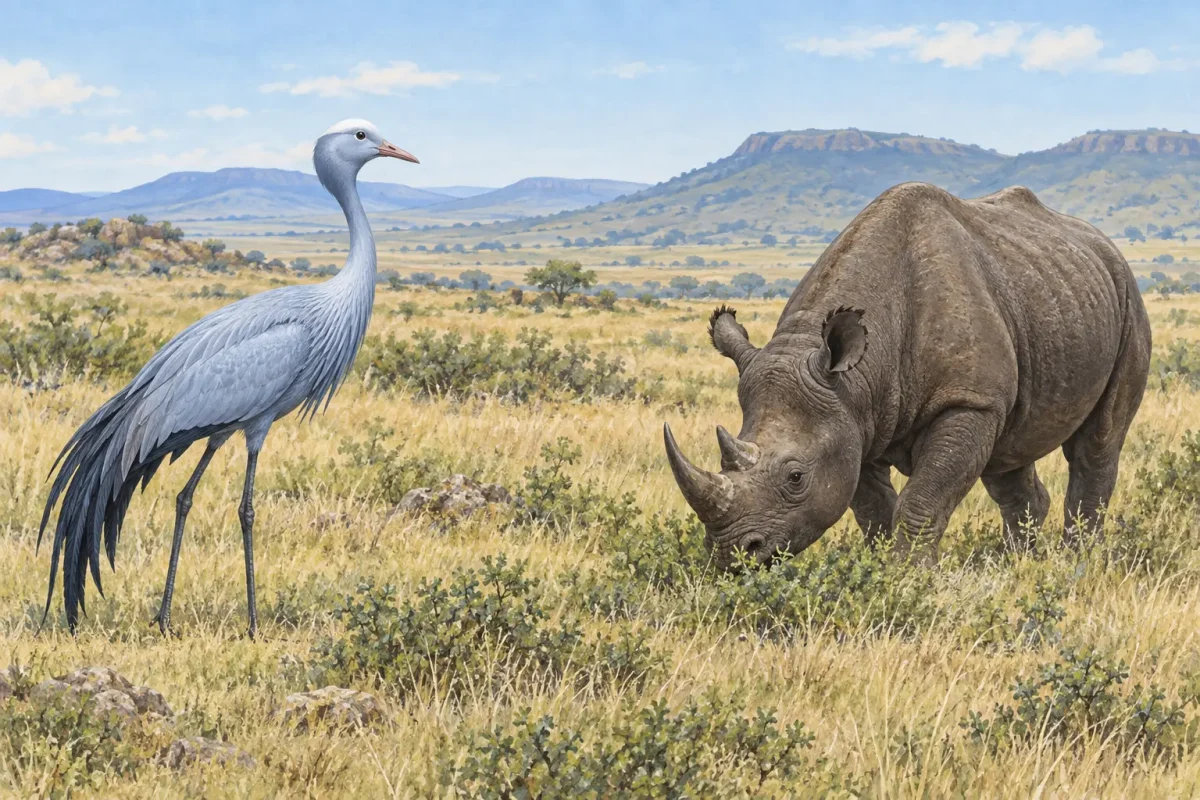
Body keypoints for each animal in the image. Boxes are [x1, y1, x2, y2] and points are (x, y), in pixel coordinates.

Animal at [665, 182, 1151, 567]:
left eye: (796, 477)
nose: (731, 555)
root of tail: (1102, 242)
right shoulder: (853, 418)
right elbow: (873, 510)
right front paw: (881, 571)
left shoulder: (965, 402)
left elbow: (922, 499)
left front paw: (909, 577)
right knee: (1007, 457)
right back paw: (1018, 564)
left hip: (1126, 295)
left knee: (1098, 441)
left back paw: (1077, 562)